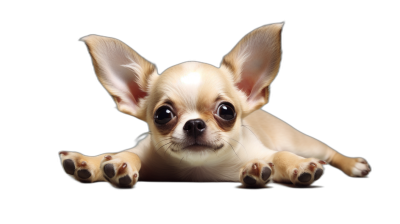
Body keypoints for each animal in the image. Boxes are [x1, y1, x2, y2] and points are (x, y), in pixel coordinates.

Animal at [59, 22, 372, 188]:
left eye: (226, 111)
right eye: (163, 114)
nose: (195, 124)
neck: (201, 170)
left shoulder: (265, 151)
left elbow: (281, 157)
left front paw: (298, 167)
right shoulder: (142, 152)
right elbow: (119, 155)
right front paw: (97, 163)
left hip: (301, 140)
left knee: (326, 151)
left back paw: (353, 164)